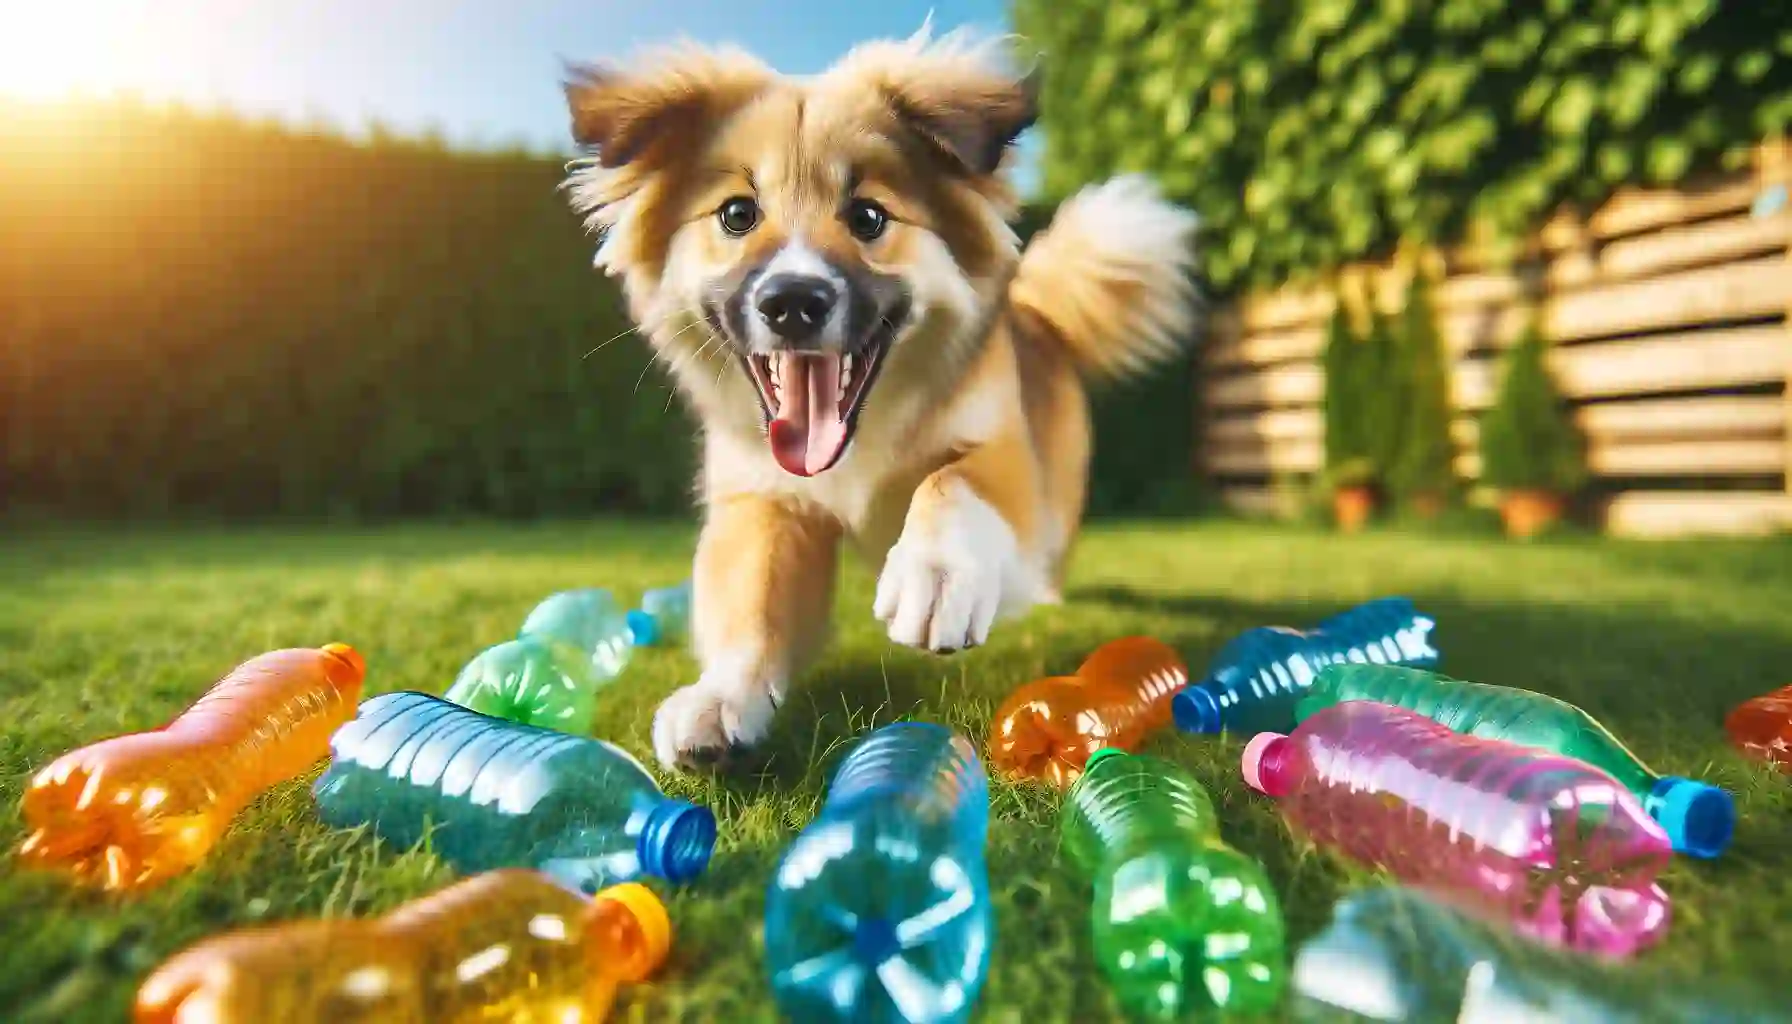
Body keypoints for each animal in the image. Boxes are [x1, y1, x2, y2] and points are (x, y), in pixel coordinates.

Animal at [559, 23, 1204, 767]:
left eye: (868, 216)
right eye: (737, 214)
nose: (793, 301)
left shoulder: (1000, 449)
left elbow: (952, 483)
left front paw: (937, 574)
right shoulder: (763, 499)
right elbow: (752, 601)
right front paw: (720, 699)